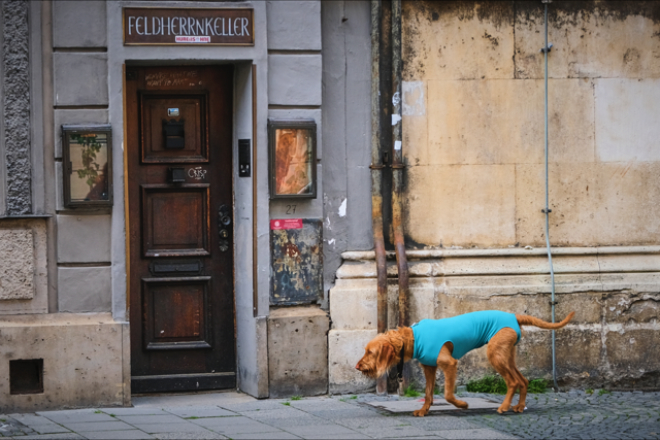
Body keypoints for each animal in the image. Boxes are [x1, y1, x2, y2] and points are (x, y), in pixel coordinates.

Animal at [354, 310, 576, 416]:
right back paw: (519, 407)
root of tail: (514, 316)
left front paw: (462, 404)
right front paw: (424, 410)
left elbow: (447, 394)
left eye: (370, 352)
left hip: (495, 356)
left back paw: (504, 407)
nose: (357, 367)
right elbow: (428, 393)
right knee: (523, 380)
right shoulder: (430, 368)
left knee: (513, 382)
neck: (413, 338)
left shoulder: (449, 364)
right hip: (506, 355)